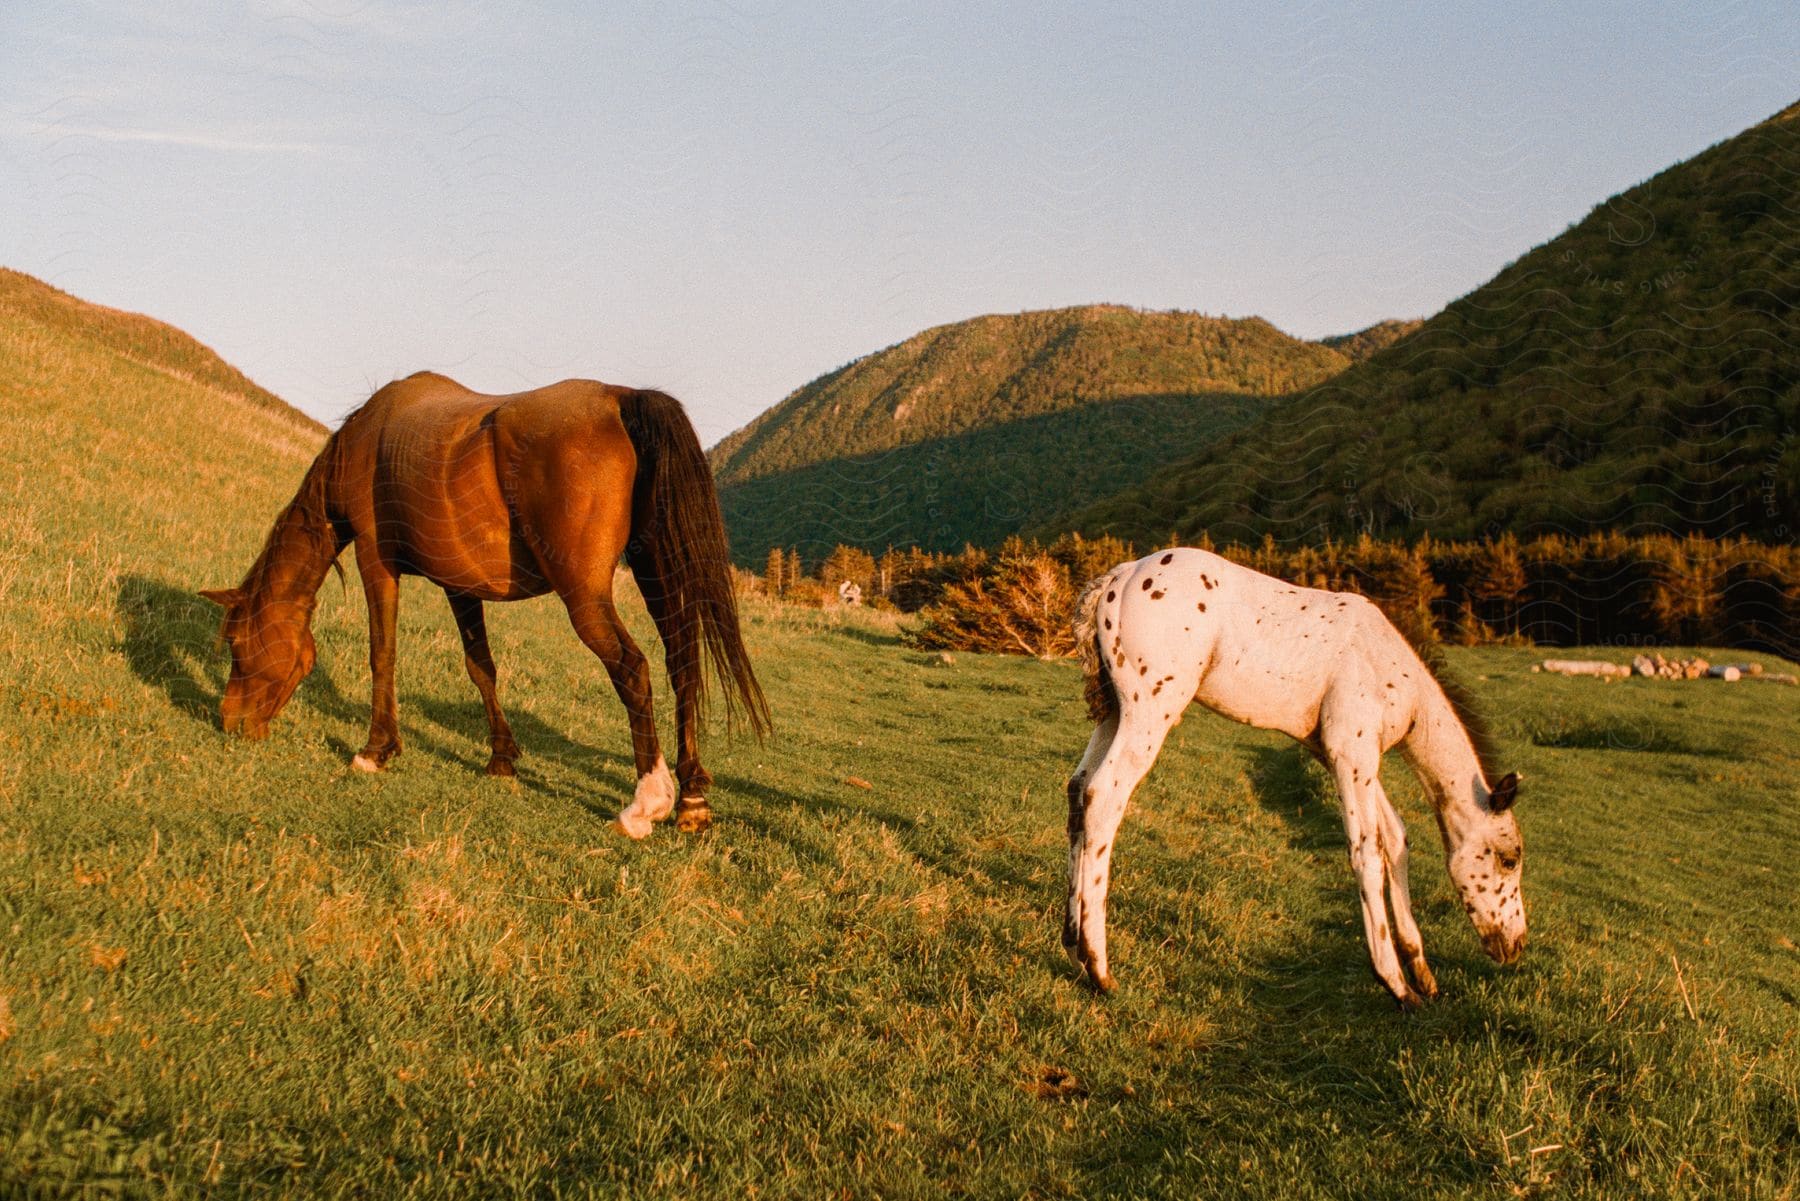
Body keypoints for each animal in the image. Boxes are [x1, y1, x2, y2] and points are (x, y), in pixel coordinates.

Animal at [200, 372, 770, 835]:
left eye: (236, 642)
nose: (229, 721)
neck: (367, 443)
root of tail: (621, 397)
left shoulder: (375, 563)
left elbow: (382, 654)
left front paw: (375, 750)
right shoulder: (460, 586)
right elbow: (481, 668)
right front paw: (501, 758)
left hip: (586, 597)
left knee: (633, 667)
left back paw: (646, 802)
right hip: (656, 572)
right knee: (682, 665)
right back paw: (691, 797)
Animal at [1058, 550, 1526, 1008]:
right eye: (1509, 858)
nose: (1516, 944)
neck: (1394, 672)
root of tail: (1118, 577)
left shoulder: (1342, 756)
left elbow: (1395, 839)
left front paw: (1422, 973)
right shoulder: (1351, 753)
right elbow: (1367, 852)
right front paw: (1396, 984)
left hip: (1114, 711)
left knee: (1079, 789)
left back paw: (1072, 946)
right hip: (1150, 710)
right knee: (1104, 797)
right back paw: (1099, 969)